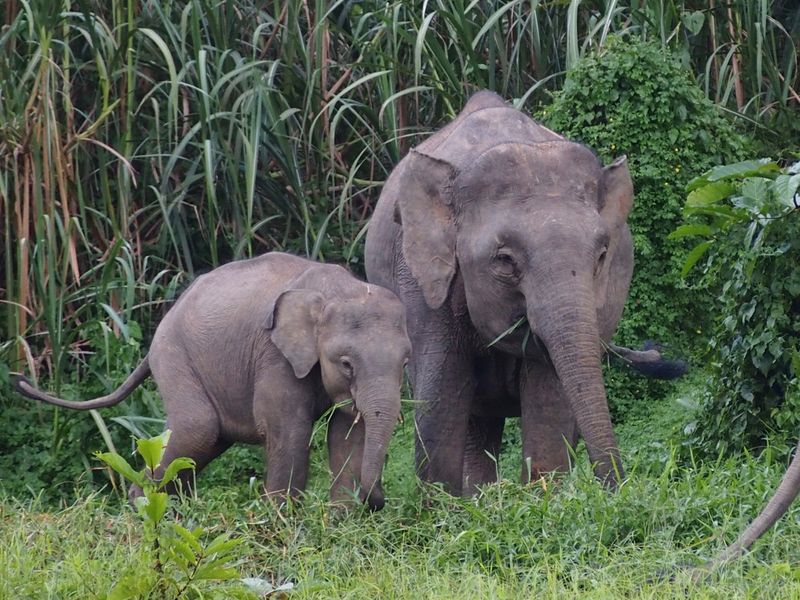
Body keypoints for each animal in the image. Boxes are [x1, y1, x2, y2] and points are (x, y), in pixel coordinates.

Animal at [13, 252, 412, 510]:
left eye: (406, 361)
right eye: (346, 363)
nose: (378, 501)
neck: (340, 289)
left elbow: (348, 432)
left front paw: (341, 524)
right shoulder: (273, 356)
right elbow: (289, 430)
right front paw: (283, 527)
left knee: (202, 441)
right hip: (175, 356)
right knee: (197, 429)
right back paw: (146, 509)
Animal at [366, 90, 665, 494]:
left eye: (602, 255)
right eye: (505, 260)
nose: (618, 489)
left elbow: (549, 399)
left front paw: (544, 495)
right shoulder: (422, 284)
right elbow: (440, 397)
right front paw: (443, 507)